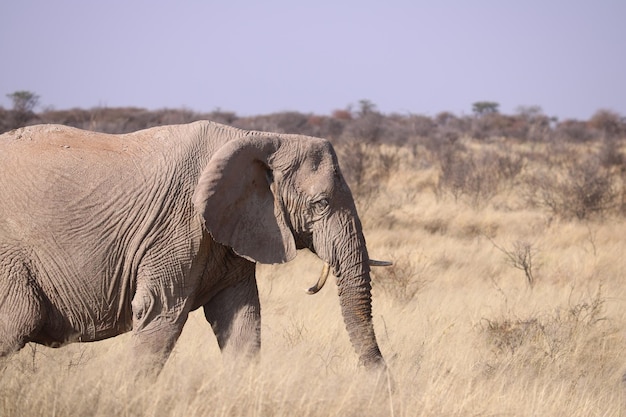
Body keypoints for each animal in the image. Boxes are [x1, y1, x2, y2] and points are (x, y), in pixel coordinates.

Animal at [0, 119, 388, 370]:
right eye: (321, 204)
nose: (384, 380)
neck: (259, 138)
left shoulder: (232, 228)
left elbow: (241, 318)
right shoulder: (175, 226)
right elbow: (160, 313)